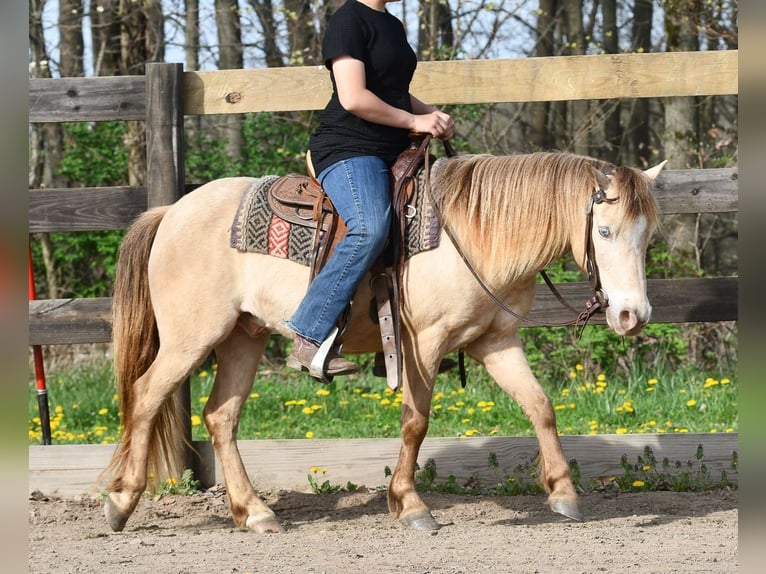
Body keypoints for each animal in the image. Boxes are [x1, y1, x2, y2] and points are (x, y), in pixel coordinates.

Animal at [101, 151, 665, 533]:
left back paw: (255, 513)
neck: (473, 235)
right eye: (605, 231)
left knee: (220, 416)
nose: (633, 316)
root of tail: (171, 212)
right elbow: (416, 422)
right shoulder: (424, 344)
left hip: (244, 336)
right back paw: (122, 502)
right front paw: (411, 505)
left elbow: (540, 406)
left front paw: (564, 493)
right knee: (148, 396)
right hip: (191, 337)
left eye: (648, 236)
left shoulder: (495, 341)